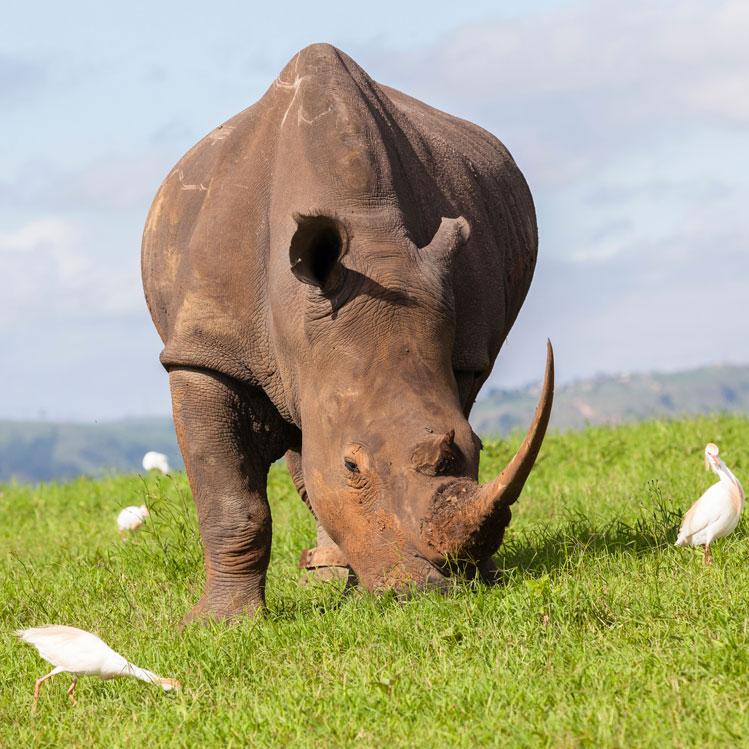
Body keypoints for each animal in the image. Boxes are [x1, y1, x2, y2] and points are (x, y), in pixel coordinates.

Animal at [141, 43, 553, 623]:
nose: (429, 593)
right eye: (351, 464)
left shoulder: (460, 348)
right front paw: (218, 625)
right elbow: (231, 502)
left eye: (477, 446)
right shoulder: (205, 352)